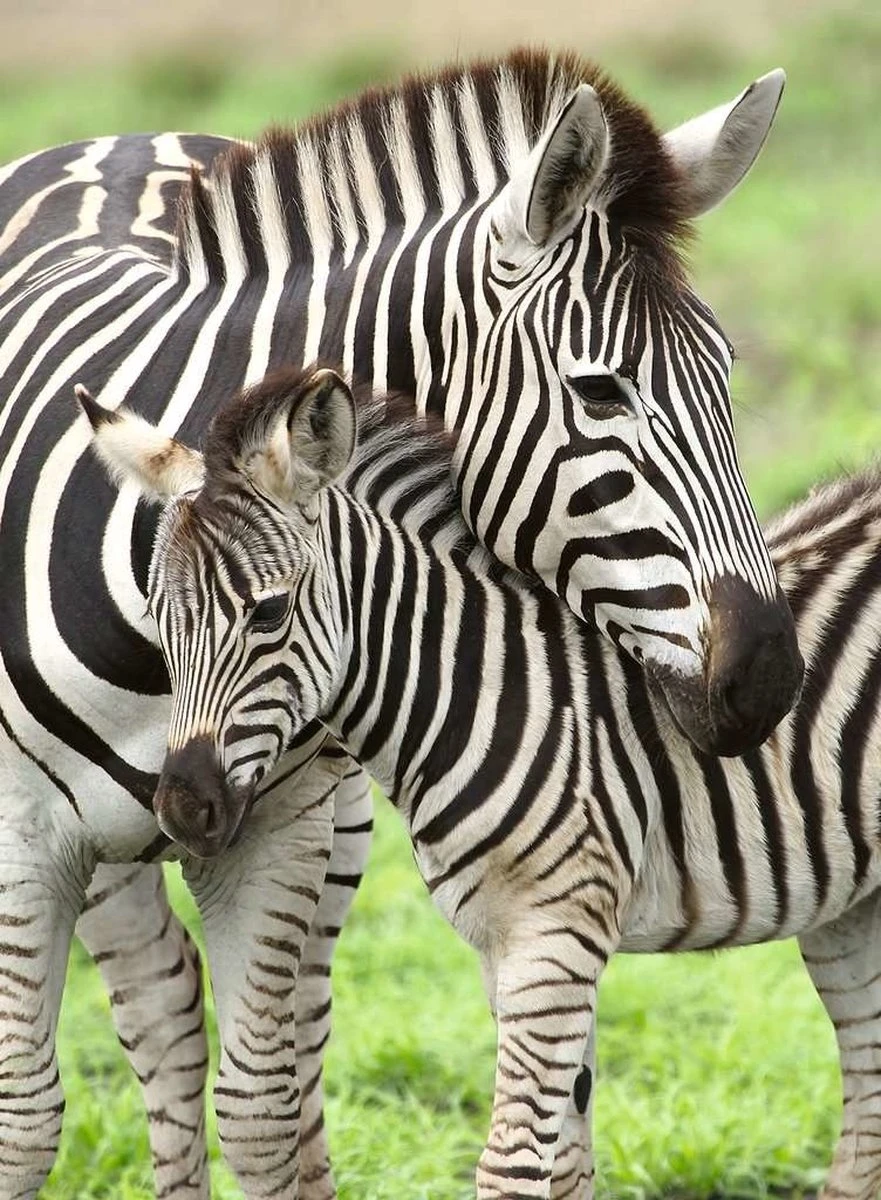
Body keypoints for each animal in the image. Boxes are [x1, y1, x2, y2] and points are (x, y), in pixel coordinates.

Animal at [0, 51, 799, 1196]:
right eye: (600, 392)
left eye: (728, 375)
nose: (768, 677)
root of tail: (118, 138)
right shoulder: (22, 838)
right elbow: (24, 1120)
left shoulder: (277, 828)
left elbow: (261, 1111)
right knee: (161, 1010)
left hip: (327, 823)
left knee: (247, 1039)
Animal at [89, 361, 881, 1200]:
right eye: (157, 617)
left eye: (268, 614)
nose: (183, 808)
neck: (484, 692)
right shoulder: (503, 946)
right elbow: (563, 1162)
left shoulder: (555, 937)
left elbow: (510, 1163)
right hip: (851, 909)